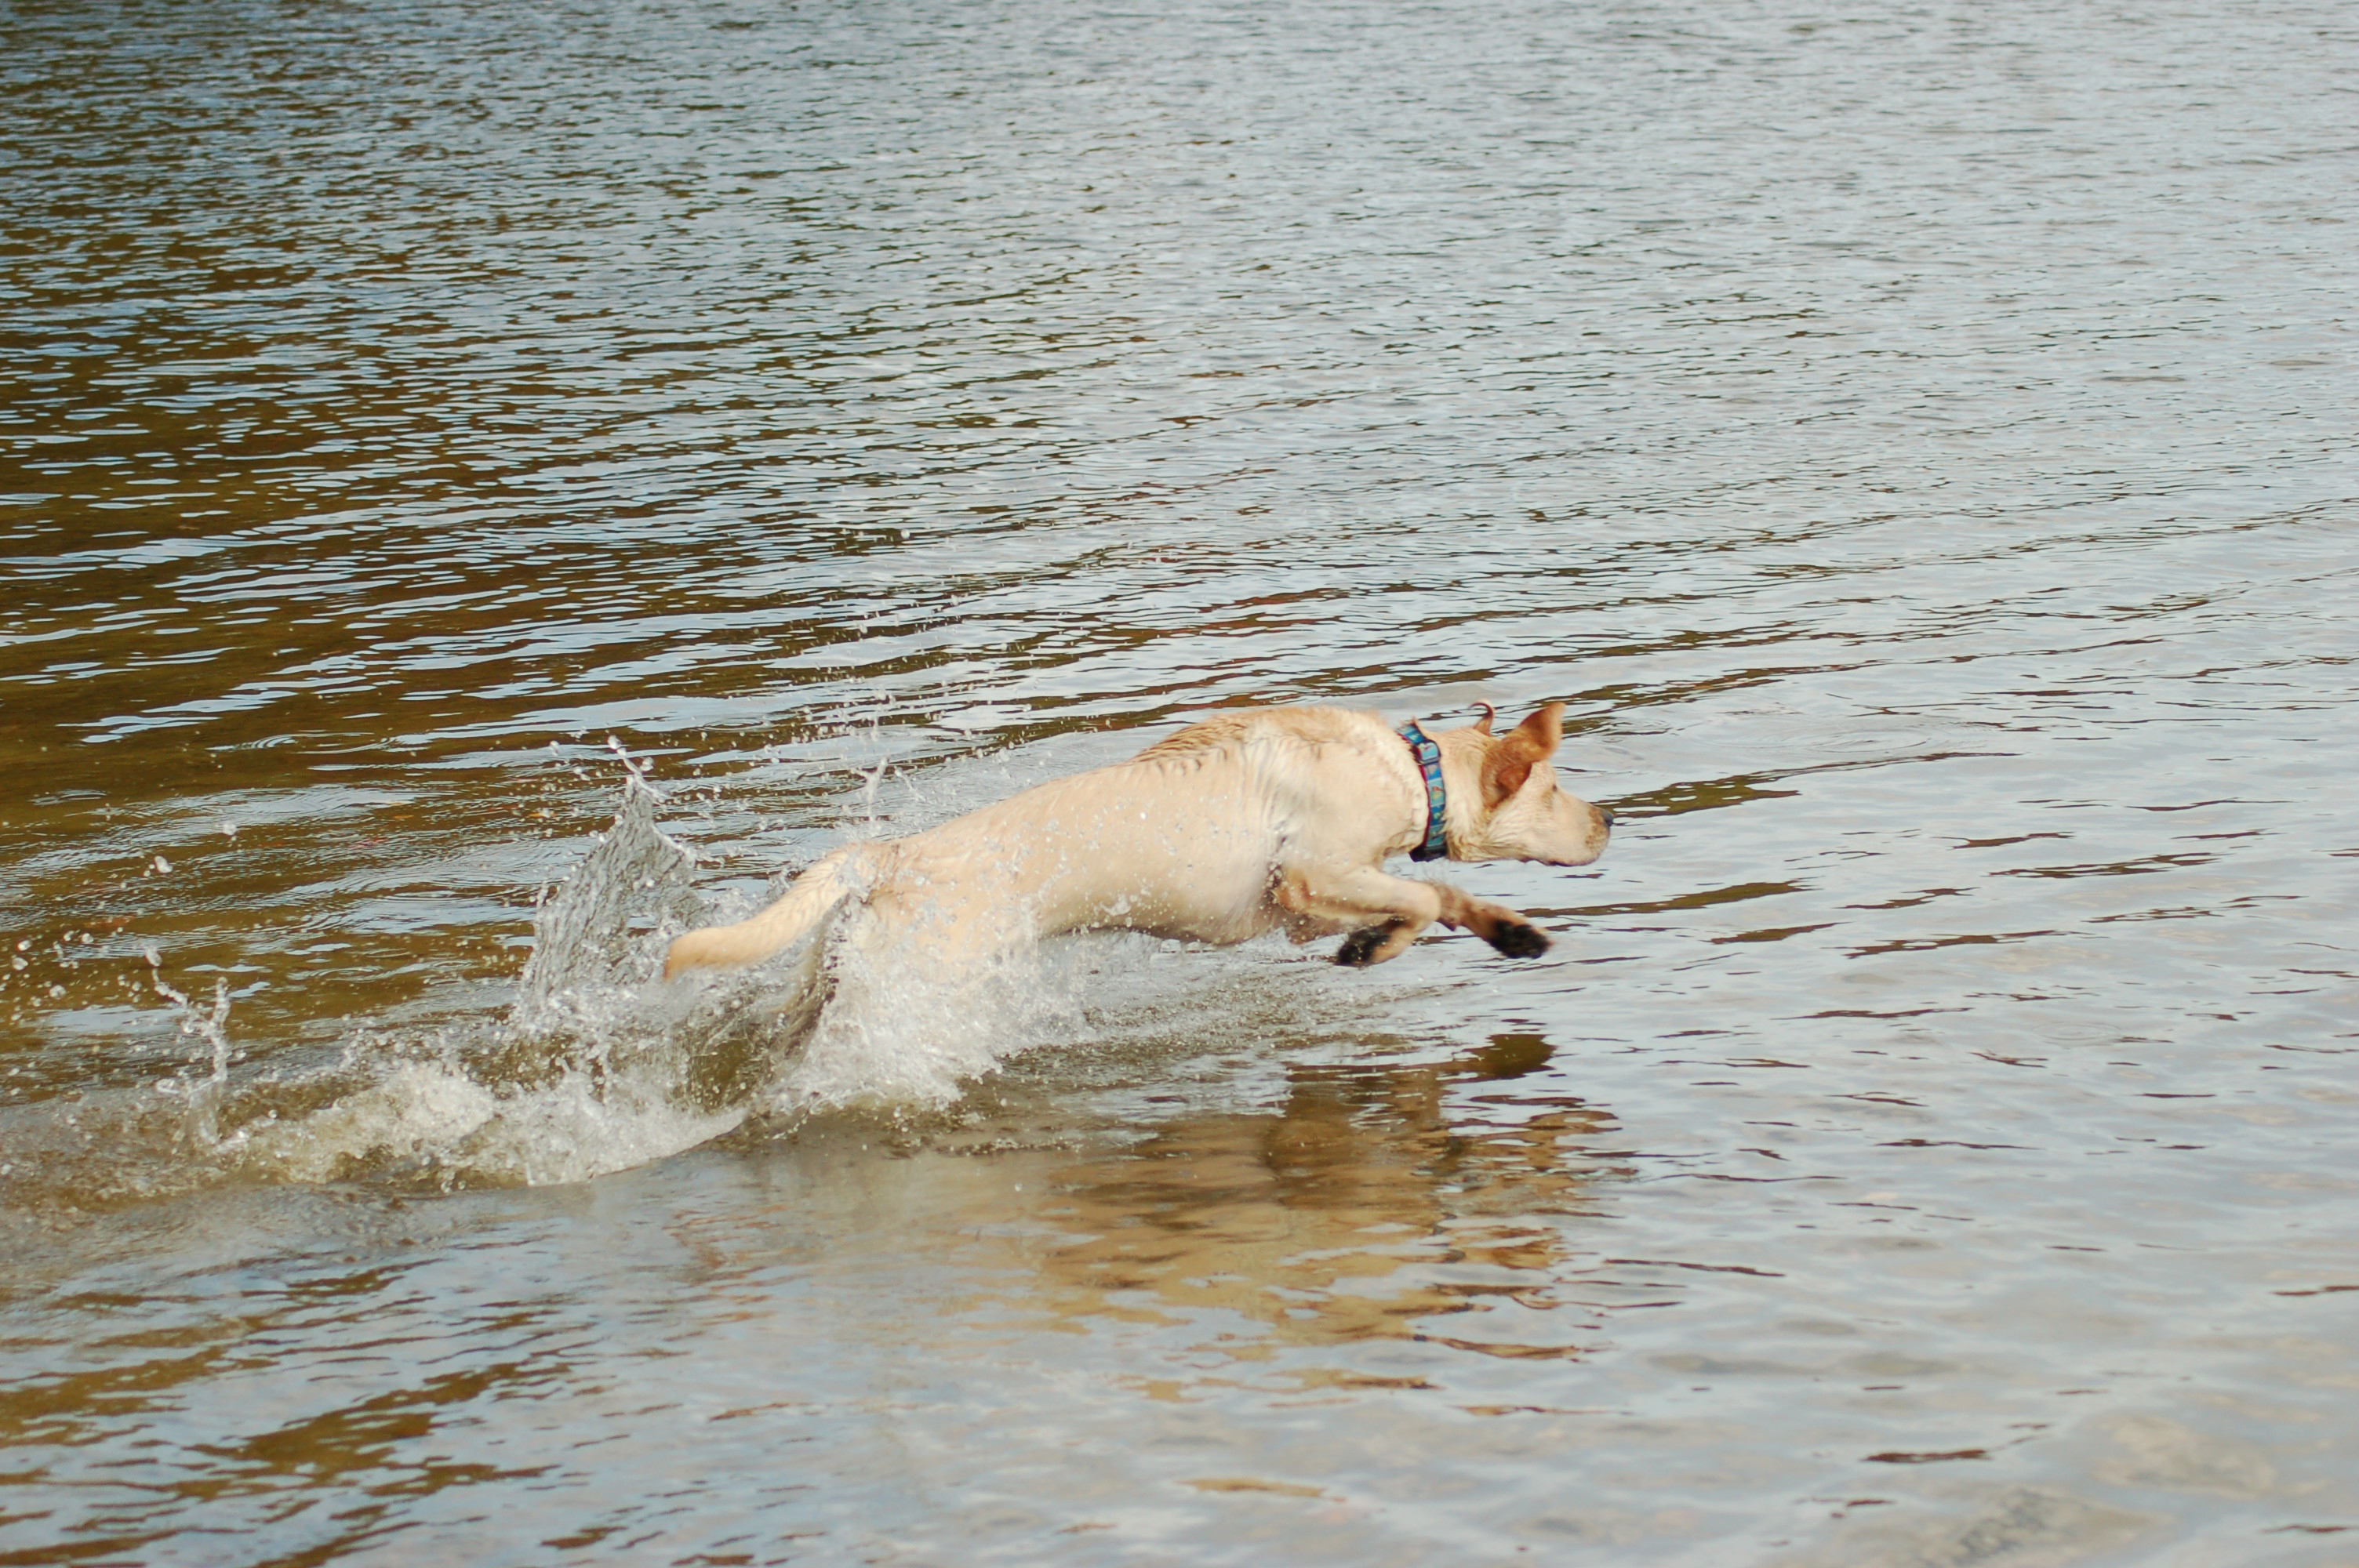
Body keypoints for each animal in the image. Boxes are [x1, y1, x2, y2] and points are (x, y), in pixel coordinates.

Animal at [674, 698, 1613, 981]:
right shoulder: (1309, 876)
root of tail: (887, 856)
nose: (1611, 821)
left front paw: (1506, 931)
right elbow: (1421, 893)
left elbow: (1440, 892)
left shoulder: (1310, 901)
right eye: (1555, 786)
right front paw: (1376, 946)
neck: (1411, 769)